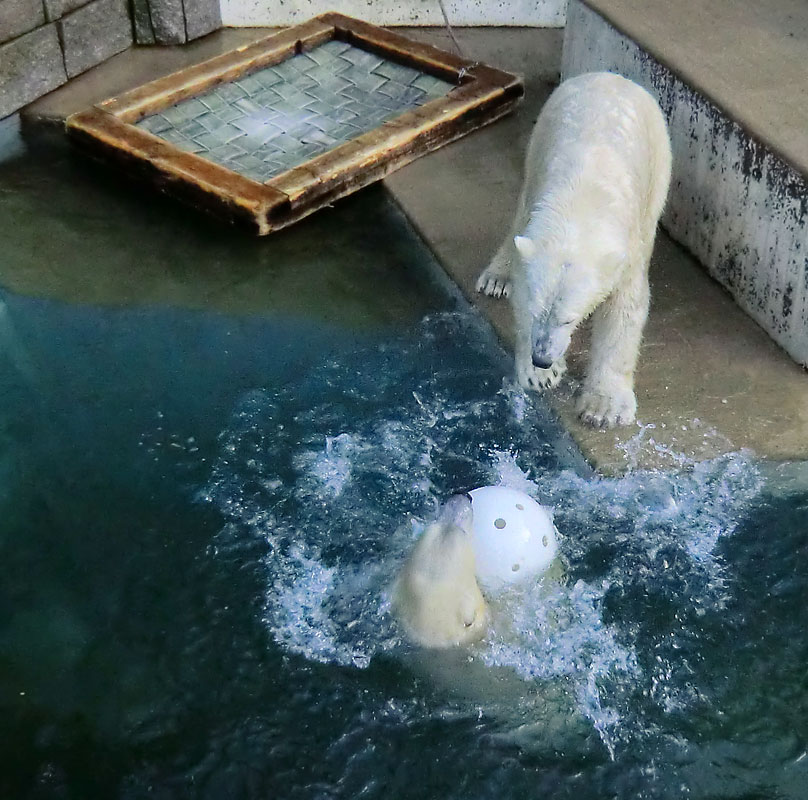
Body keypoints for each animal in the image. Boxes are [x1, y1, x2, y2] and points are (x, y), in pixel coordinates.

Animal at [476, 72, 672, 428]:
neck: (579, 205)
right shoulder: (539, 213)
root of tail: (611, 76)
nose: (541, 358)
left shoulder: (627, 251)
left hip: (659, 162)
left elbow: (624, 309)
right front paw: (540, 375)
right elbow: (523, 281)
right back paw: (497, 277)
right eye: (537, 310)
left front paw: (604, 408)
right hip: (540, 135)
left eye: (569, 319)